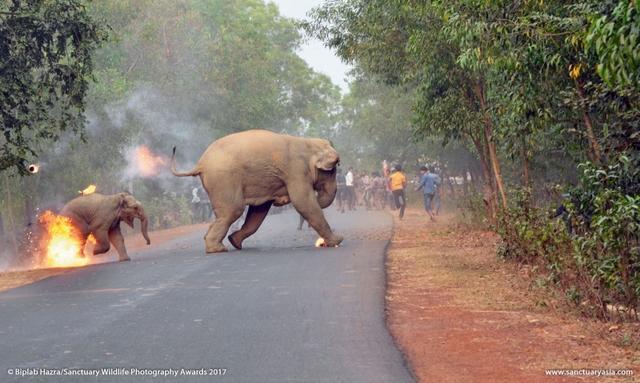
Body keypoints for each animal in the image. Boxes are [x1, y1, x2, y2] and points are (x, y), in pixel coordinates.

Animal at [169, 130, 340, 254]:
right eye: (333, 170)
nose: (282, 201)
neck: (308, 143)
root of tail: (200, 164)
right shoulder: (296, 171)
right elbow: (303, 202)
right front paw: (338, 241)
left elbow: (259, 210)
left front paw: (235, 240)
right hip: (223, 179)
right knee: (233, 211)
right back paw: (217, 250)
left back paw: (229, 245)